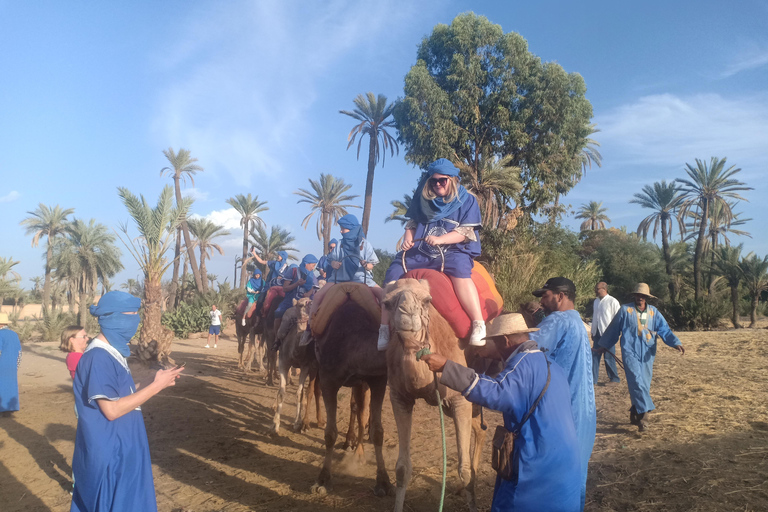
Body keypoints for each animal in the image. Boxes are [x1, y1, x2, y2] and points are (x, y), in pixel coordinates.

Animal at [270, 298, 324, 434]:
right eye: (300, 305)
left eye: (311, 303)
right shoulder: (283, 363)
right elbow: (281, 392)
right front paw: (275, 424)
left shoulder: (305, 366)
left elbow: (300, 393)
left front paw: (297, 423)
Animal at [308, 298, 390, 498]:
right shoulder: (328, 379)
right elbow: (330, 433)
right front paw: (322, 480)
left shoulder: (377, 379)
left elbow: (377, 431)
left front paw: (383, 481)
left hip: (361, 382)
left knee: (360, 411)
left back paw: (357, 451)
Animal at [384, 278, 486, 512]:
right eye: (386, 303)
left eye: (427, 300)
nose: (407, 312)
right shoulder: (399, 397)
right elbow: (402, 468)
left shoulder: (459, 400)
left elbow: (465, 470)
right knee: (479, 429)